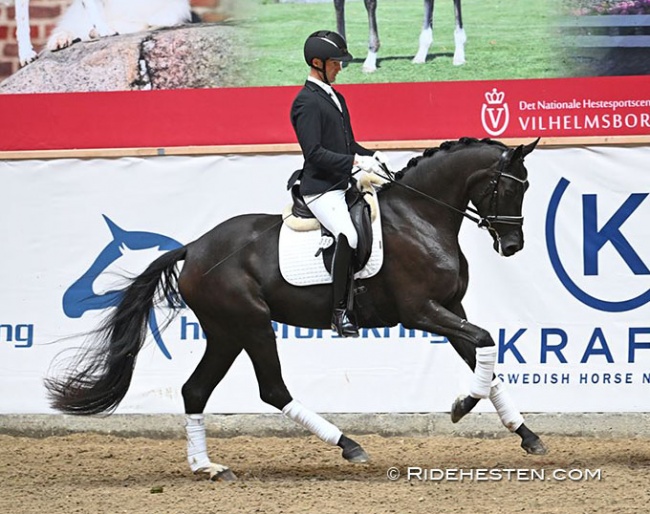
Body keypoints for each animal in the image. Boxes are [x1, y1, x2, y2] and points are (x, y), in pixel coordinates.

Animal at [44, 137, 540, 480]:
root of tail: (195, 247)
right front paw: (461, 405)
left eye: (526, 188)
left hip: (225, 332)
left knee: (195, 390)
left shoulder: (451, 306)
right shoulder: (421, 311)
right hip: (251, 324)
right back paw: (348, 445)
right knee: (272, 389)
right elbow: (484, 342)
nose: (513, 245)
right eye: (505, 188)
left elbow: (485, 356)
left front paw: (527, 435)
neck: (420, 216)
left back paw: (207, 467)